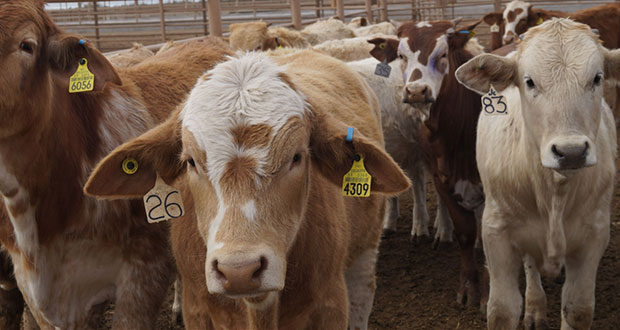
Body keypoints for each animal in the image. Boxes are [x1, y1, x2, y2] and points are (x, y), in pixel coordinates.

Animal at [83, 49, 412, 330]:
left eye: (296, 156)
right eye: (190, 161)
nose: (238, 270)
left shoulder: (331, 303)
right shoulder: (196, 308)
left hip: (364, 254)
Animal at [368, 19, 490, 308]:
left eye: (443, 54)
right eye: (401, 56)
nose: (416, 92)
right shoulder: (442, 178)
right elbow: (465, 232)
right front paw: (468, 289)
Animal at [452, 18, 616, 330]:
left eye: (597, 78)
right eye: (529, 81)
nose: (571, 151)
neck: (554, 190)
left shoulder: (595, 232)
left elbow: (577, 308)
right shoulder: (496, 230)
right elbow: (502, 309)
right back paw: (535, 308)